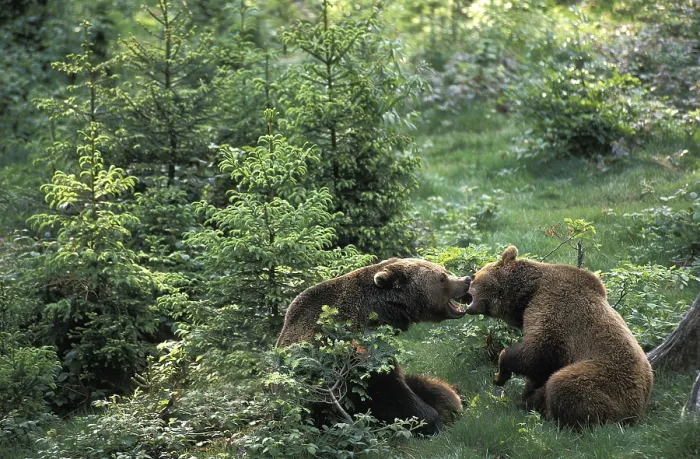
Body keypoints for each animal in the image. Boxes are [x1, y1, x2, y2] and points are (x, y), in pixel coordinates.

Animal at [276, 258, 472, 434]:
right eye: (442, 278)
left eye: (444, 270)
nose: (466, 280)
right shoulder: (353, 362)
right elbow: (389, 394)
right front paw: (432, 421)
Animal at [461, 246, 653, 428]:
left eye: (474, 275)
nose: (467, 280)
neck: (527, 294)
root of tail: (634, 414)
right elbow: (539, 372)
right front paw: (525, 397)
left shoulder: (554, 310)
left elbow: (538, 350)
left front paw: (500, 375)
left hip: (607, 377)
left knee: (564, 383)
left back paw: (555, 418)